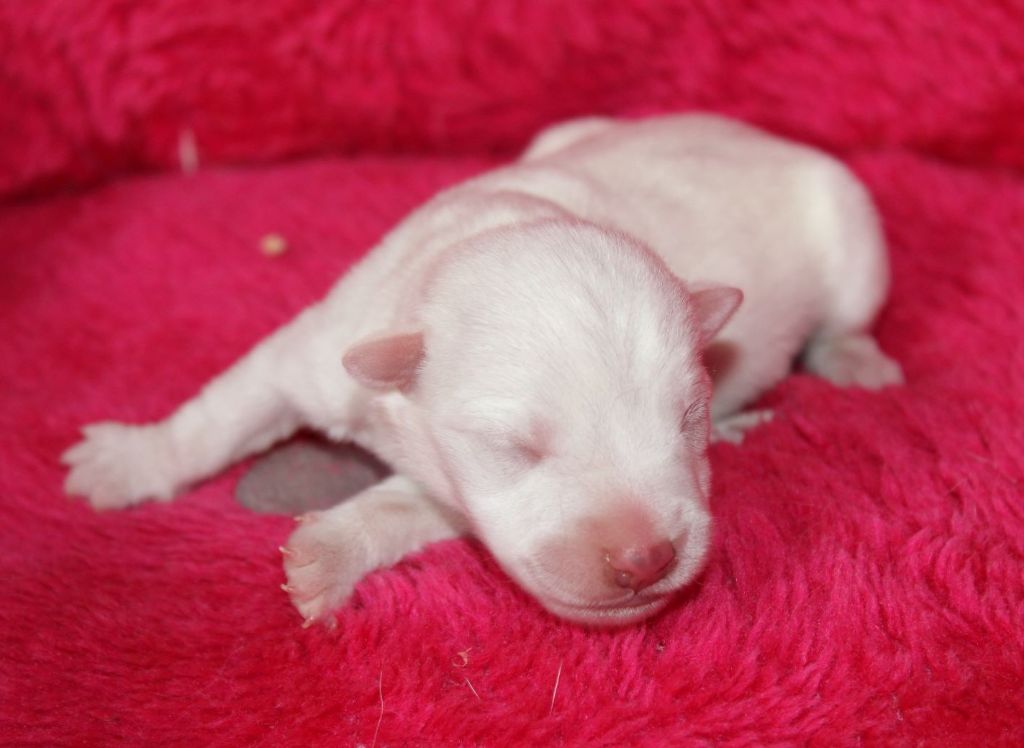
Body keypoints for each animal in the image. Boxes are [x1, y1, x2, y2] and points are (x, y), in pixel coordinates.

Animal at [61, 113, 905, 627]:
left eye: (685, 420)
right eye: (516, 448)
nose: (649, 558)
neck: (502, 221)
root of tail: (757, 134)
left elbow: (403, 504)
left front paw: (328, 550)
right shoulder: (322, 347)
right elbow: (223, 411)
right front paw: (128, 460)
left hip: (853, 222)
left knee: (848, 314)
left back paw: (850, 361)